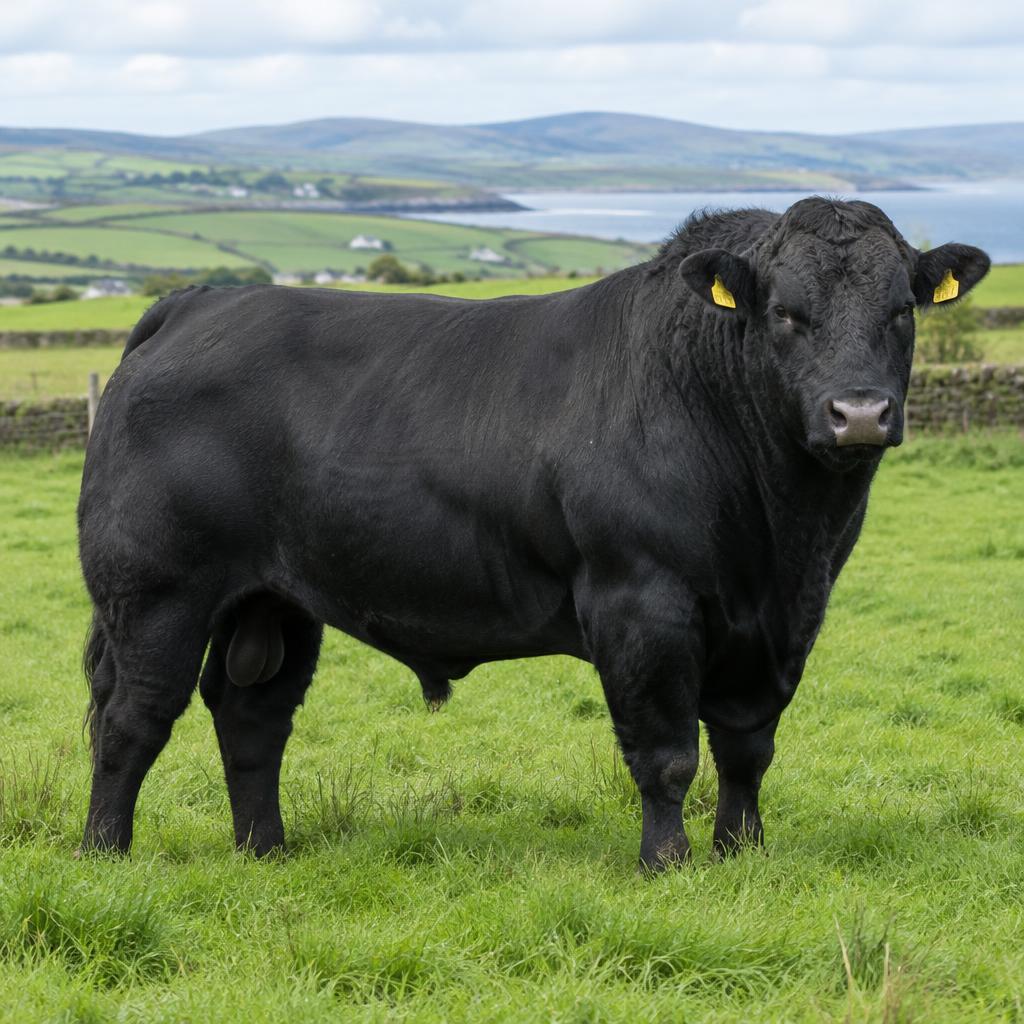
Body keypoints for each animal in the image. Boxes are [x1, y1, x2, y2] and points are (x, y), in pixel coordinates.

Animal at [77, 198, 990, 871]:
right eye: (787, 314)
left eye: (902, 311)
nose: (859, 412)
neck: (778, 537)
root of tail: (197, 302)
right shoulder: (641, 600)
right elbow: (668, 752)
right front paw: (669, 862)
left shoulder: (785, 619)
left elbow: (747, 748)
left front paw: (742, 852)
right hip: (156, 590)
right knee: (132, 716)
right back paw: (107, 854)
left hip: (275, 598)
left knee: (251, 717)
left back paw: (265, 850)